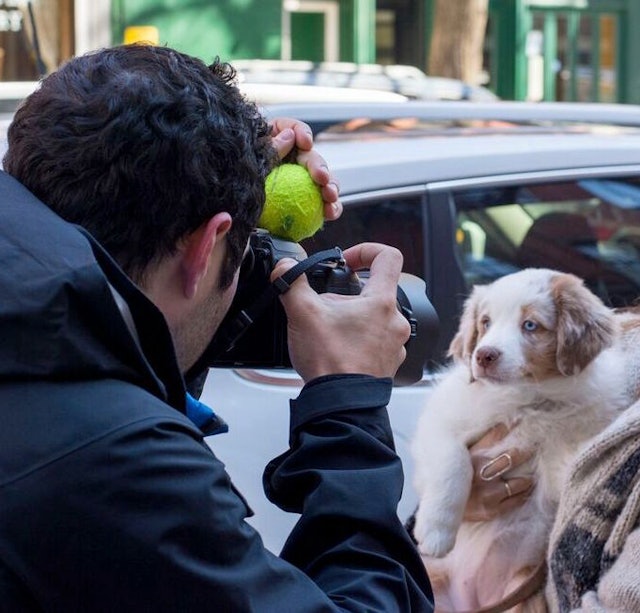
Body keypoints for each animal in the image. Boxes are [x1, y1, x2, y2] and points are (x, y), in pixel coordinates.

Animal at [410, 268, 640, 612]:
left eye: (530, 325)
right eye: (485, 322)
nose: (484, 355)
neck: (528, 400)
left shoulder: (568, 448)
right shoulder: (441, 420)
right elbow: (454, 465)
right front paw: (435, 532)